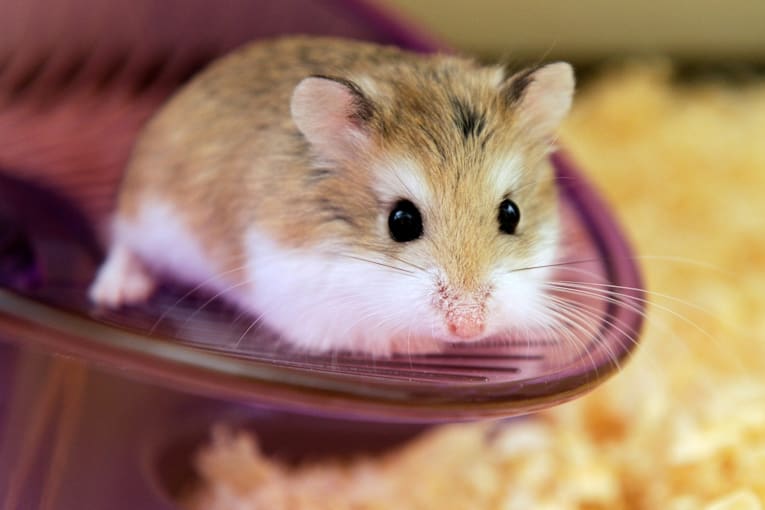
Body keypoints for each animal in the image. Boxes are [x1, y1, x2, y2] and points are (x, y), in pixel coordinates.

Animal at [89, 36, 574, 355]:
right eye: (401, 221)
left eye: (510, 213)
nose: (469, 327)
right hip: (144, 212)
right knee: (122, 243)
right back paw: (116, 293)